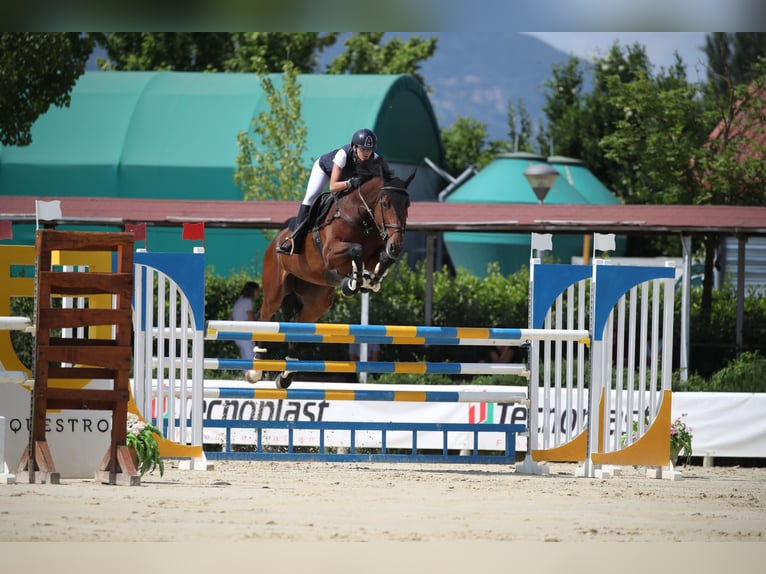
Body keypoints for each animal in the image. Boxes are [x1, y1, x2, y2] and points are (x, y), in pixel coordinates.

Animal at [256, 155, 414, 390]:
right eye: (385, 203)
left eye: (407, 204)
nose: (397, 245)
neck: (361, 217)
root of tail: (275, 241)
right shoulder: (331, 253)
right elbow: (356, 250)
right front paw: (354, 282)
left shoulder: (373, 254)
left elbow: (382, 259)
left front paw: (370, 280)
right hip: (275, 291)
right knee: (263, 317)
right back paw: (255, 368)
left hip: (317, 301)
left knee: (296, 322)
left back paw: (287, 374)